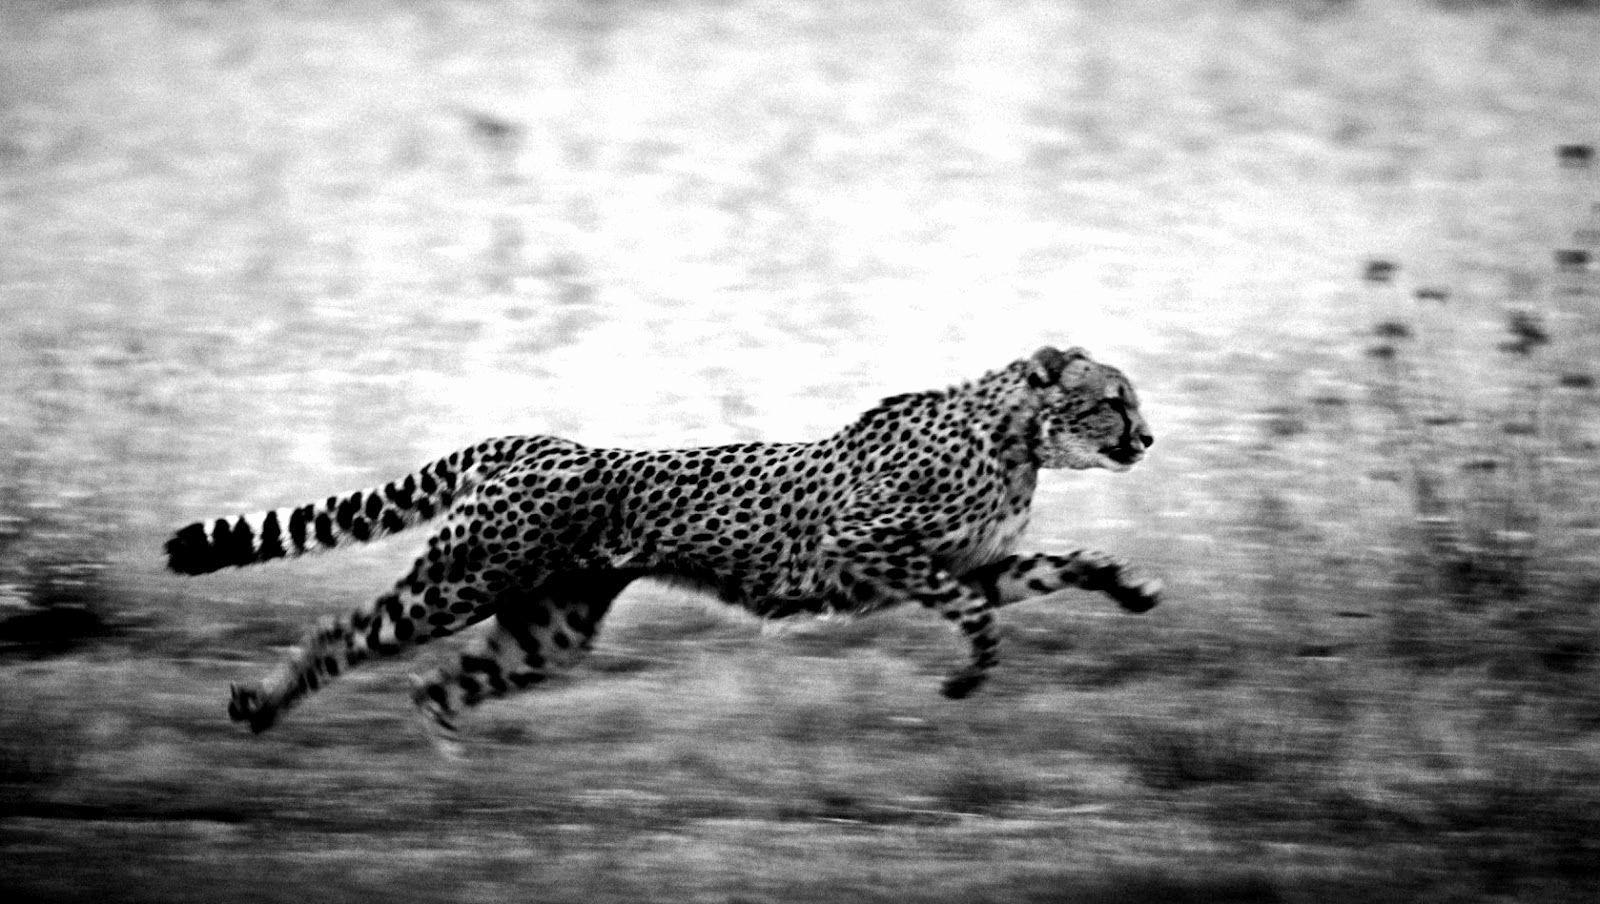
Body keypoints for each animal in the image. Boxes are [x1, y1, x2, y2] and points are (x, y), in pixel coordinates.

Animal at [165, 345, 1160, 739]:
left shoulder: (978, 562)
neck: (1017, 436)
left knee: (436, 683)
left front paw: (1128, 587)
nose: (1149, 438)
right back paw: (262, 705)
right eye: (1113, 398)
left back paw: (450, 765)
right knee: (348, 633)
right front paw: (966, 677)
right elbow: (971, 614)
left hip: (550, 625)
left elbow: (1058, 566)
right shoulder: (863, 546)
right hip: (460, 581)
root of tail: (530, 440)